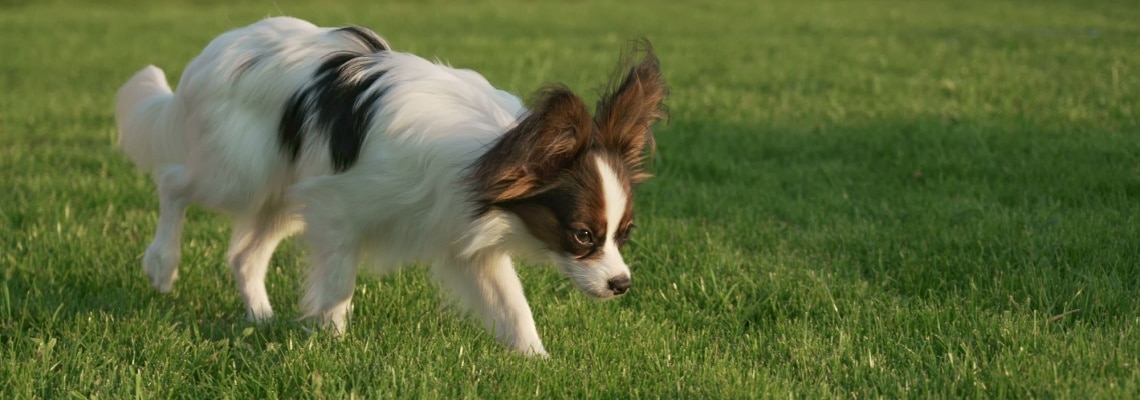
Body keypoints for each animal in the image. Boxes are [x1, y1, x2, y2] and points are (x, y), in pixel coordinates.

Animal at [113, 17, 665, 357]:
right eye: (583, 235)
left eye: (625, 234)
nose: (622, 285)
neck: (495, 153)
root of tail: (220, 48)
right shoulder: (338, 210)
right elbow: (338, 285)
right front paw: (332, 342)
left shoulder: (464, 244)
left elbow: (513, 306)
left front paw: (537, 361)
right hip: (239, 173)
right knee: (174, 182)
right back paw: (162, 264)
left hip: (286, 193)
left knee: (244, 255)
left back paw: (262, 317)